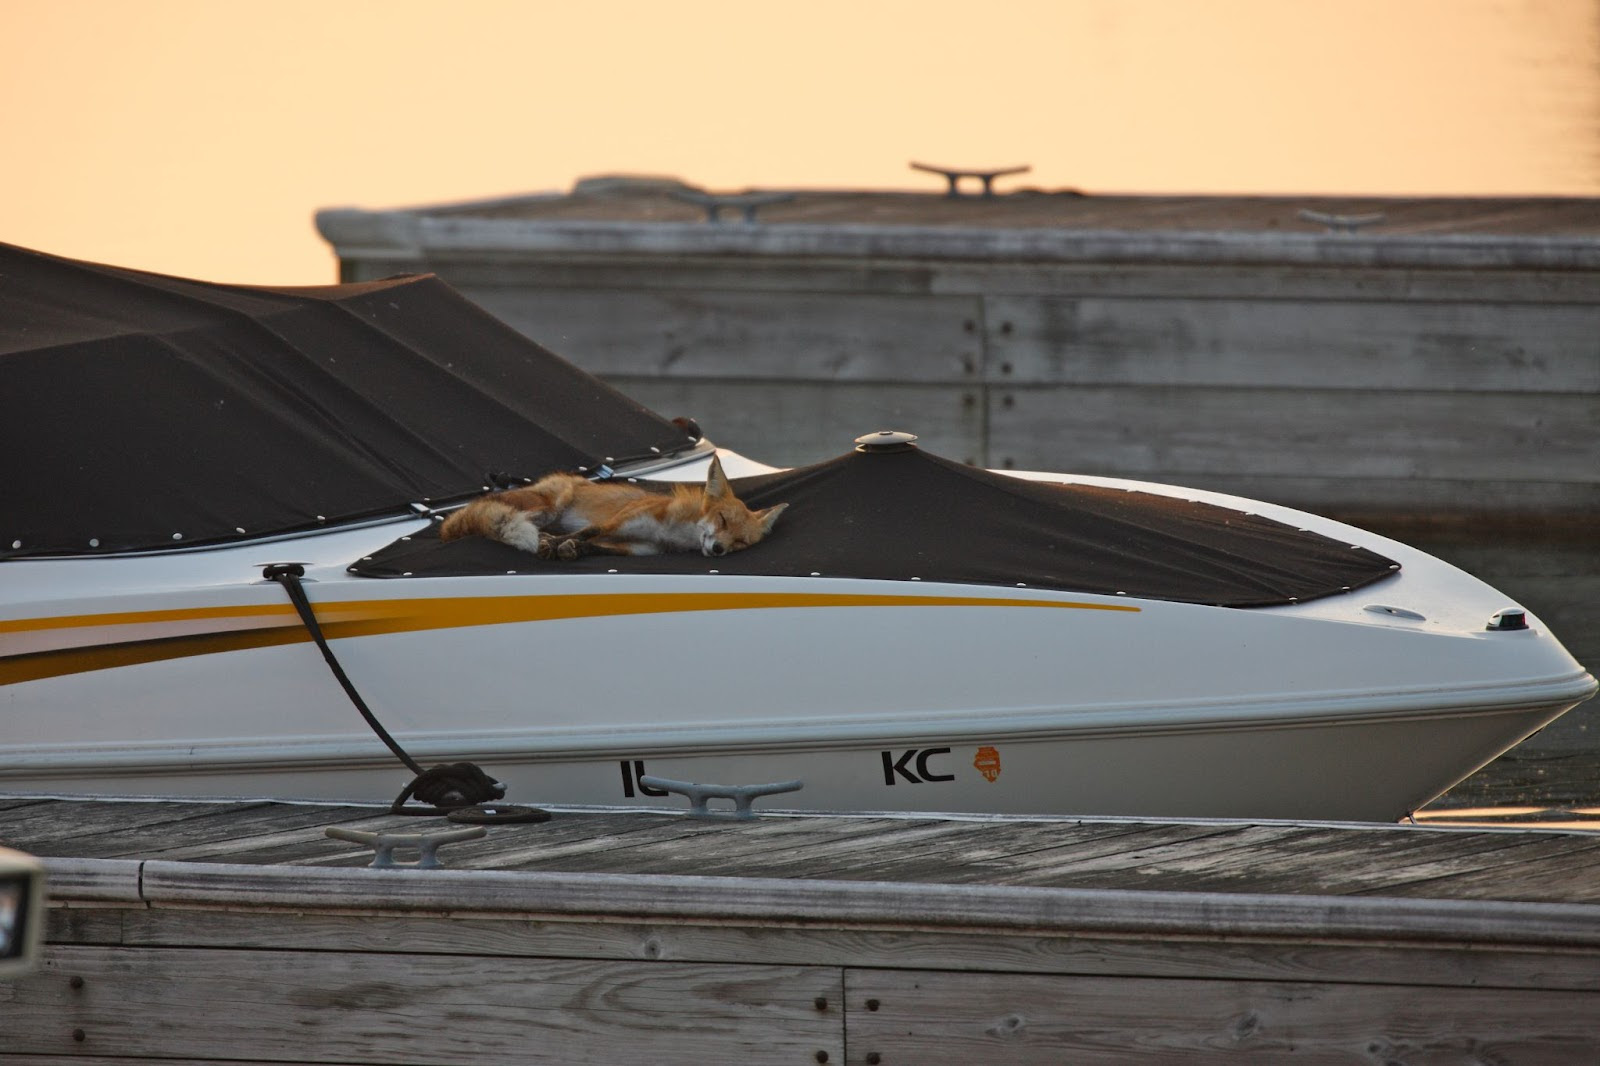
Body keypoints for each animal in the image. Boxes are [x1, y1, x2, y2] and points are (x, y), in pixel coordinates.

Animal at [438, 456, 788, 560]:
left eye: (740, 542)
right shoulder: (622, 521)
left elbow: (594, 546)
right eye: (723, 520)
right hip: (549, 506)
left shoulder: (639, 548)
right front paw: (553, 544)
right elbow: (588, 531)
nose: (717, 550)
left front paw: (572, 550)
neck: (672, 534)